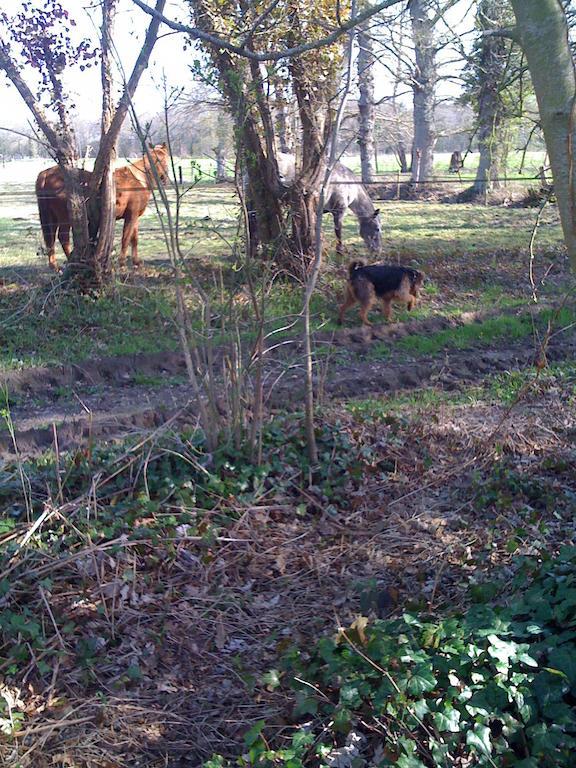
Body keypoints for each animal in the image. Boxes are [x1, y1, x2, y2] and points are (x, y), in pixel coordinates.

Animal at [36, 144, 169, 270]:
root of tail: (46, 173)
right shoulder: (131, 216)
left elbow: (134, 239)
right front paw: (122, 264)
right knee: (63, 238)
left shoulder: (135, 216)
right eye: (161, 160)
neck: (138, 179)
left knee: (51, 238)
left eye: (165, 159)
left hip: (52, 218)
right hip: (65, 219)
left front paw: (136, 262)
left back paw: (55, 266)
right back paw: (73, 262)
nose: (164, 179)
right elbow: (126, 239)